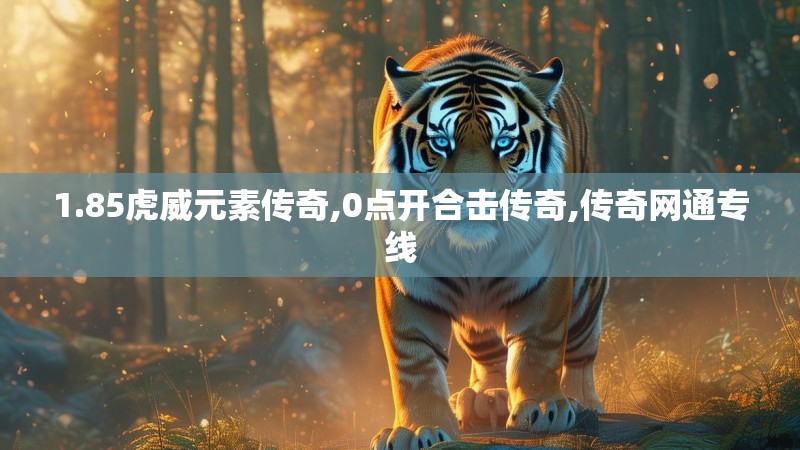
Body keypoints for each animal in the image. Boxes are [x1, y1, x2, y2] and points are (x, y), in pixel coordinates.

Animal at [369, 35, 608, 450]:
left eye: (505, 143)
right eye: (440, 143)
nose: (474, 197)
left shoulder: (548, 267)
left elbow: (539, 341)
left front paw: (544, 408)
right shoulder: (402, 275)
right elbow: (412, 357)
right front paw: (418, 428)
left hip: (587, 277)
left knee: (580, 349)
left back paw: (580, 400)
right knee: (488, 352)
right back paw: (484, 398)